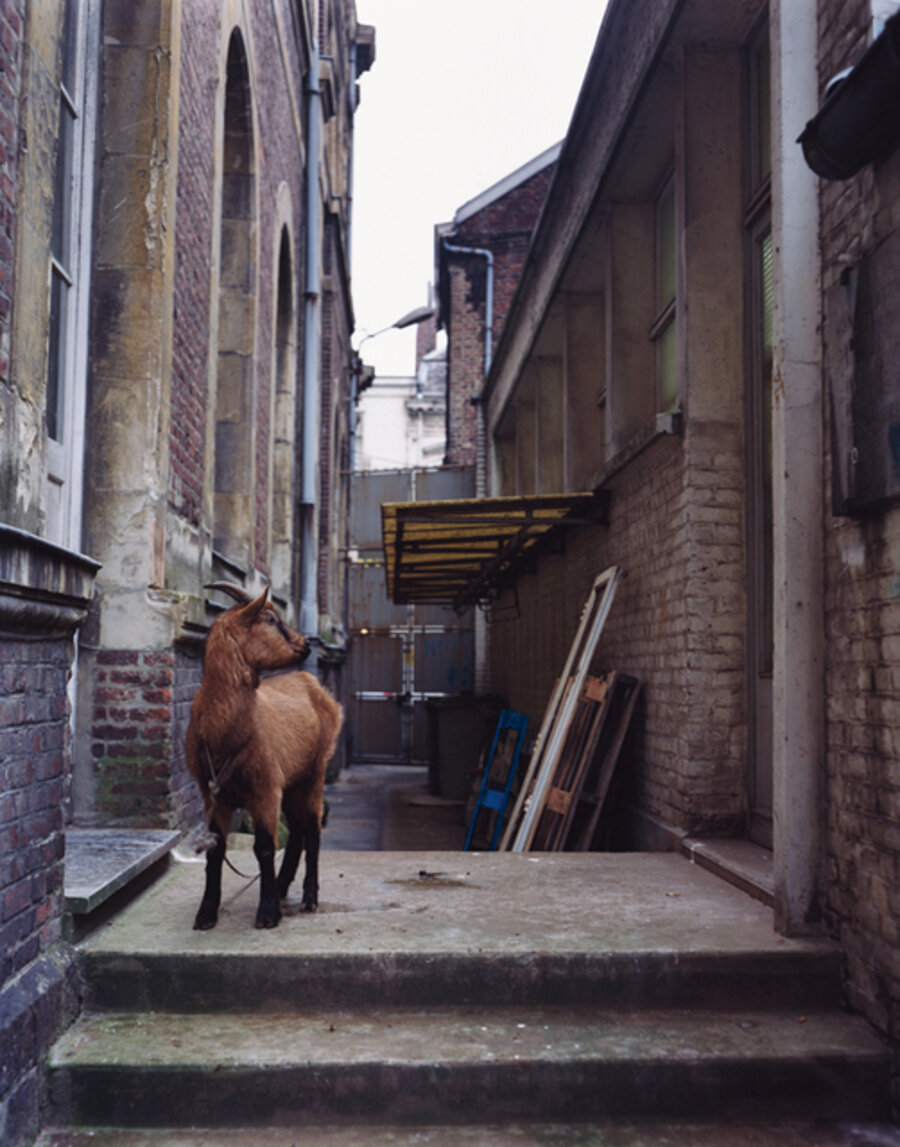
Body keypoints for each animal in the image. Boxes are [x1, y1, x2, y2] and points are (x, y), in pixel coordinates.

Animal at [186, 583, 343, 930]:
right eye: (270, 619)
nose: (304, 644)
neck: (224, 736)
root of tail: (315, 686)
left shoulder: (265, 789)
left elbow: (265, 848)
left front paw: (267, 913)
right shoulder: (213, 794)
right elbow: (216, 850)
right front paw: (206, 913)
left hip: (315, 772)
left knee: (313, 830)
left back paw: (309, 897)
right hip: (292, 783)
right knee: (298, 830)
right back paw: (283, 886)